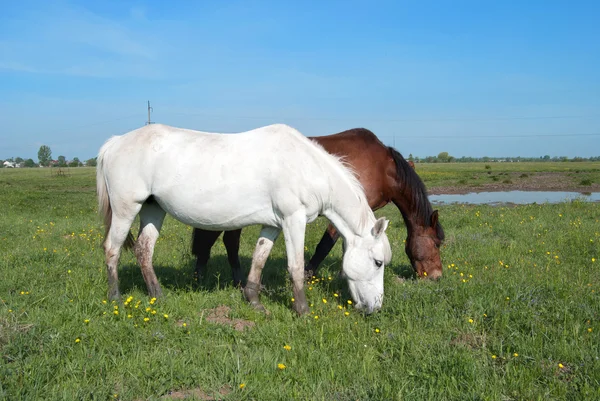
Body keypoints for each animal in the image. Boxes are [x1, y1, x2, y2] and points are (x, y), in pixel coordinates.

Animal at [96, 123, 392, 314]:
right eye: (377, 262)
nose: (376, 308)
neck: (306, 167)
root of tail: (115, 142)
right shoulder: (293, 220)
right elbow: (295, 266)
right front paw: (303, 310)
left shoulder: (273, 224)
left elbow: (259, 259)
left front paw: (254, 301)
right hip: (126, 209)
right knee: (112, 250)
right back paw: (115, 298)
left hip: (153, 209)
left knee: (144, 250)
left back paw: (157, 295)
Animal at [192, 128, 446, 284]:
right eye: (437, 243)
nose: (437, 276)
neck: (382, 167)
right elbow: (325, 246)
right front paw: (307, 275)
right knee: (228, 242)